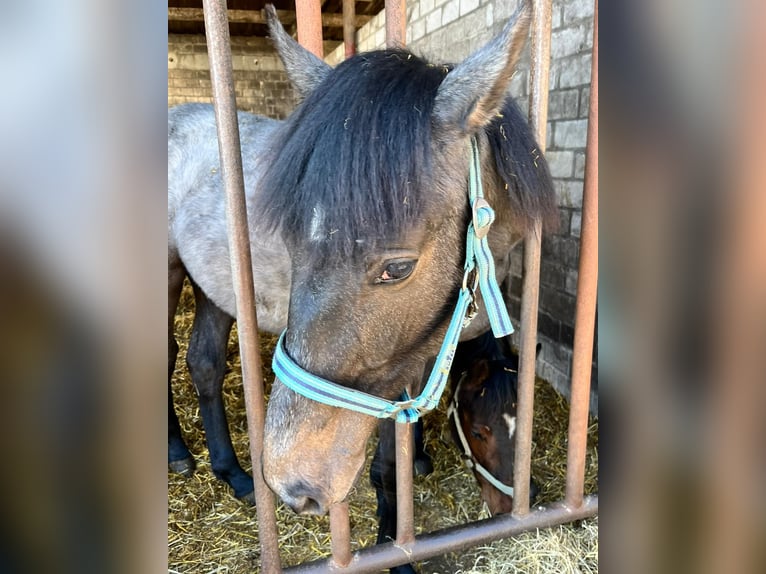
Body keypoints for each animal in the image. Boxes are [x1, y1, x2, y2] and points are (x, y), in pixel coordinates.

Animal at [168, 0, 556, 548]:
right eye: (479, 432)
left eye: (396, 268)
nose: (289, 481)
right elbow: (386, 466)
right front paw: (394, 543)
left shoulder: (418, 349)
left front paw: (418, 460)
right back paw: (183, 455)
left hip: (214, 288)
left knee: (203, 362)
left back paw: (233, 473)